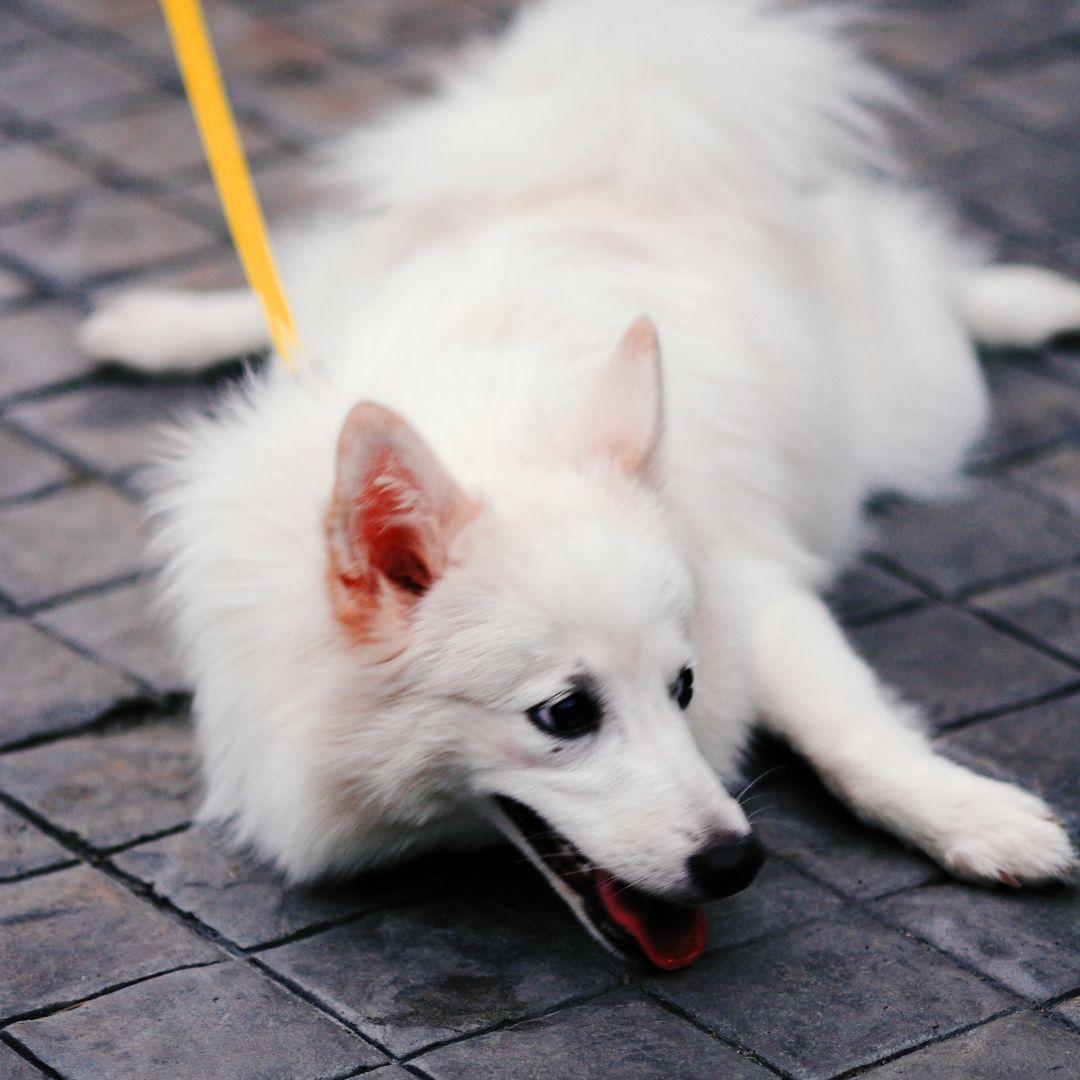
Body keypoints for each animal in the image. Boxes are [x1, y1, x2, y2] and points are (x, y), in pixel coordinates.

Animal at [79, 0, 1075, 972]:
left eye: (683, 685)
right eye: (565, 714)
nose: (737, 861)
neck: (489, 440)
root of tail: (606, 160)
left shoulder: (755, 585)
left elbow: (850, 728)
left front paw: (972, 815)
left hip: (911, 389)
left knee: (934, 271)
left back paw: (1028, 300)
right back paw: (159, 325)